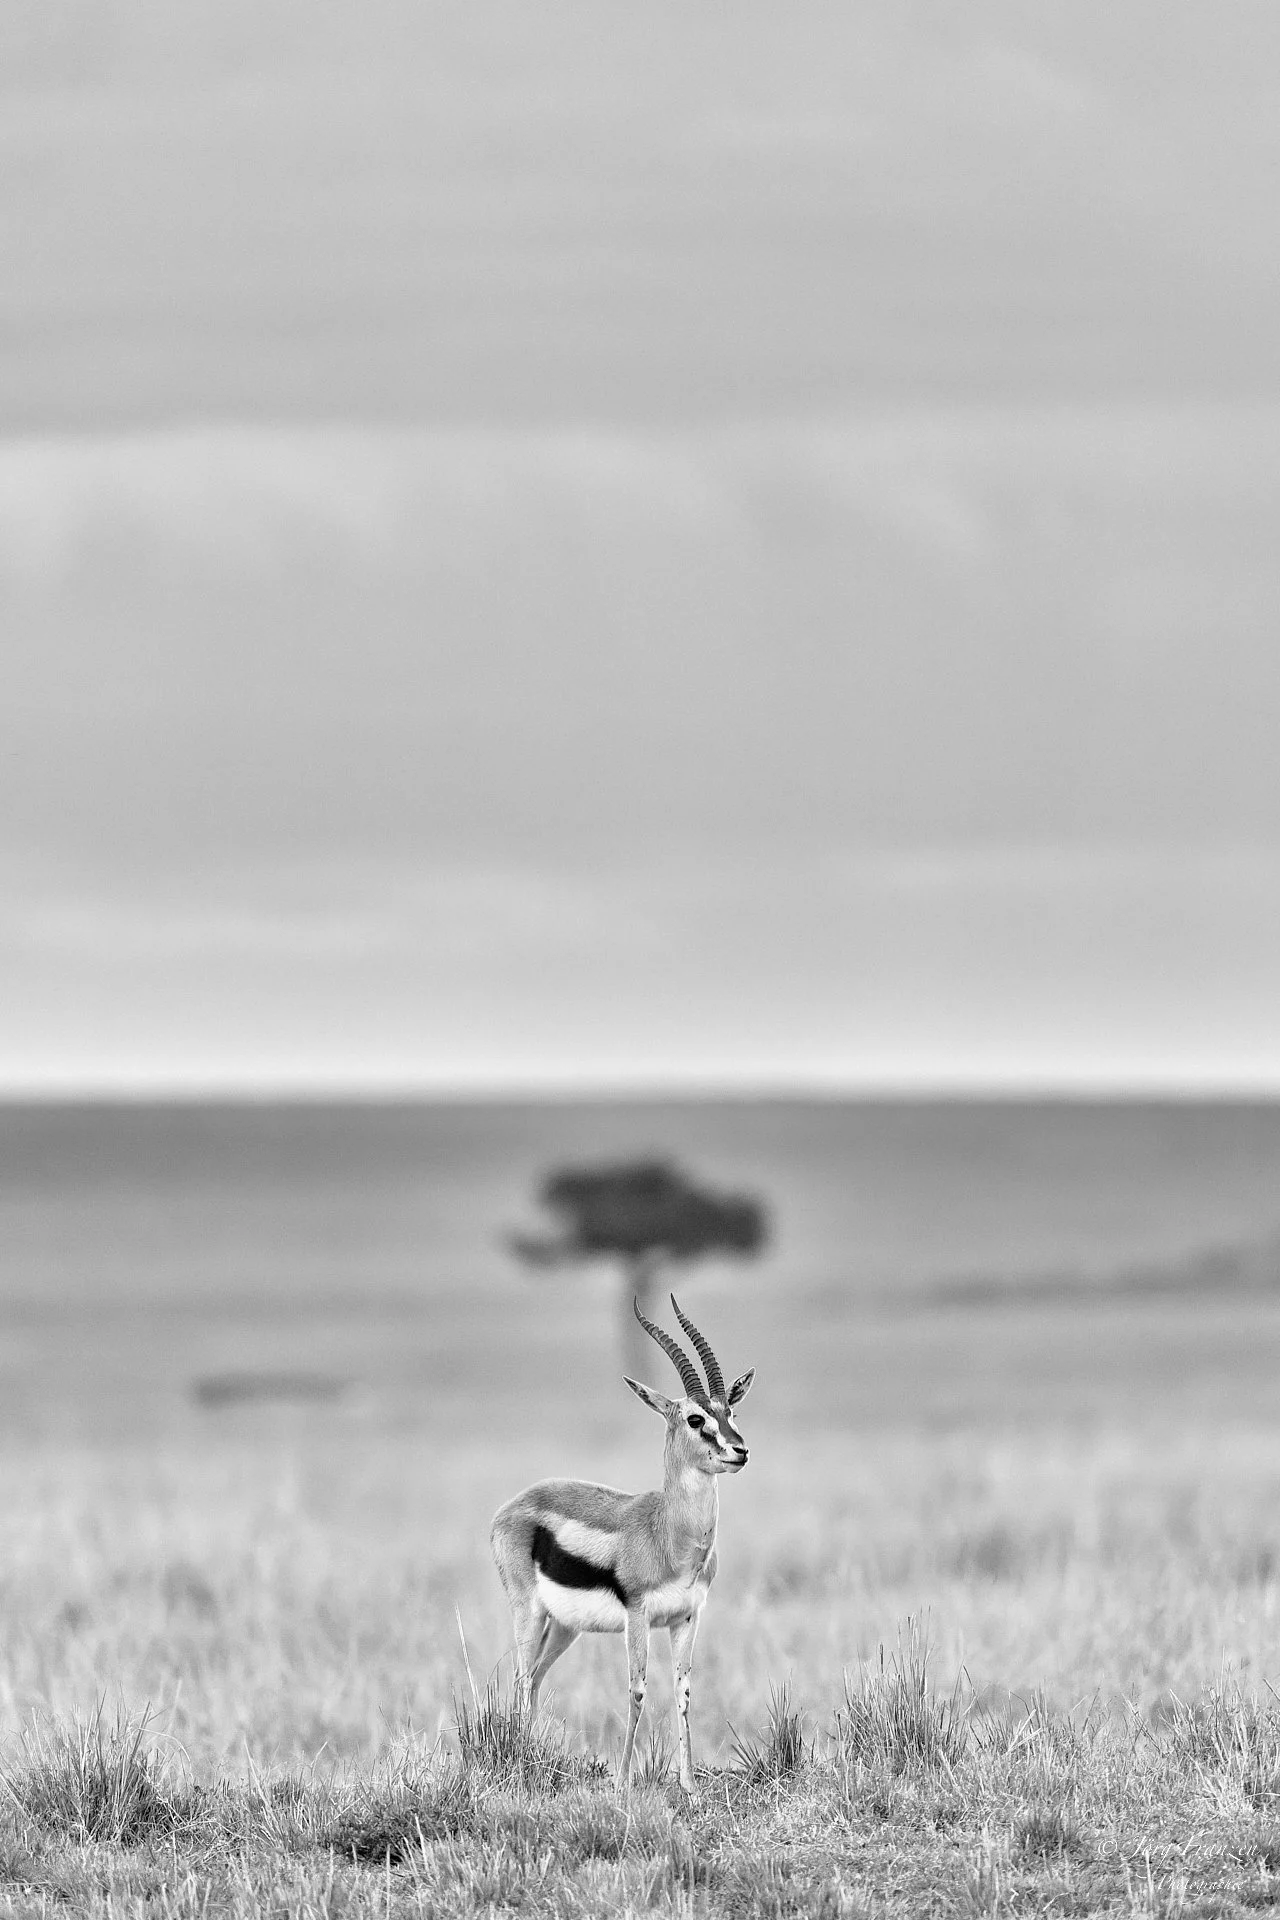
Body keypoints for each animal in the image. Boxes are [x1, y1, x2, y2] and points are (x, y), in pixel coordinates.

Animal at [490, 1294, 755, 1795]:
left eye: (730, 1412)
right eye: (695, 1418)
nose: (740, 1450)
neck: (670, 1536)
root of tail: (510, 1507)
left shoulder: (686, 1617)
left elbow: (683, 1691)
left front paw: (689, 1785)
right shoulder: (637, 1615)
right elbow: (636, 1690)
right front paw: (625, 1781)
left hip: (565, 1626)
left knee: (534, 1680)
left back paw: (531, 1758)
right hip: (528, 1612)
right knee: (519, 1678)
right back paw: (518, 1763)